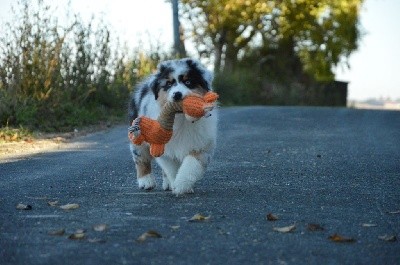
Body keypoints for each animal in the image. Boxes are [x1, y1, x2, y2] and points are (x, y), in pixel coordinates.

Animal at [128, 58, 217, 194]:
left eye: (188, 82)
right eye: (168, 84)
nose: (177, 94)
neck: (181, 119)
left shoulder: (202, 146)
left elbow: (191, 165)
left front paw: (181, 185)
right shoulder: (164, 149)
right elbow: (171, 168)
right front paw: (176, 184)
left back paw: (167, 184)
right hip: (138, 134)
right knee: (140, 157)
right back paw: (146, 181)